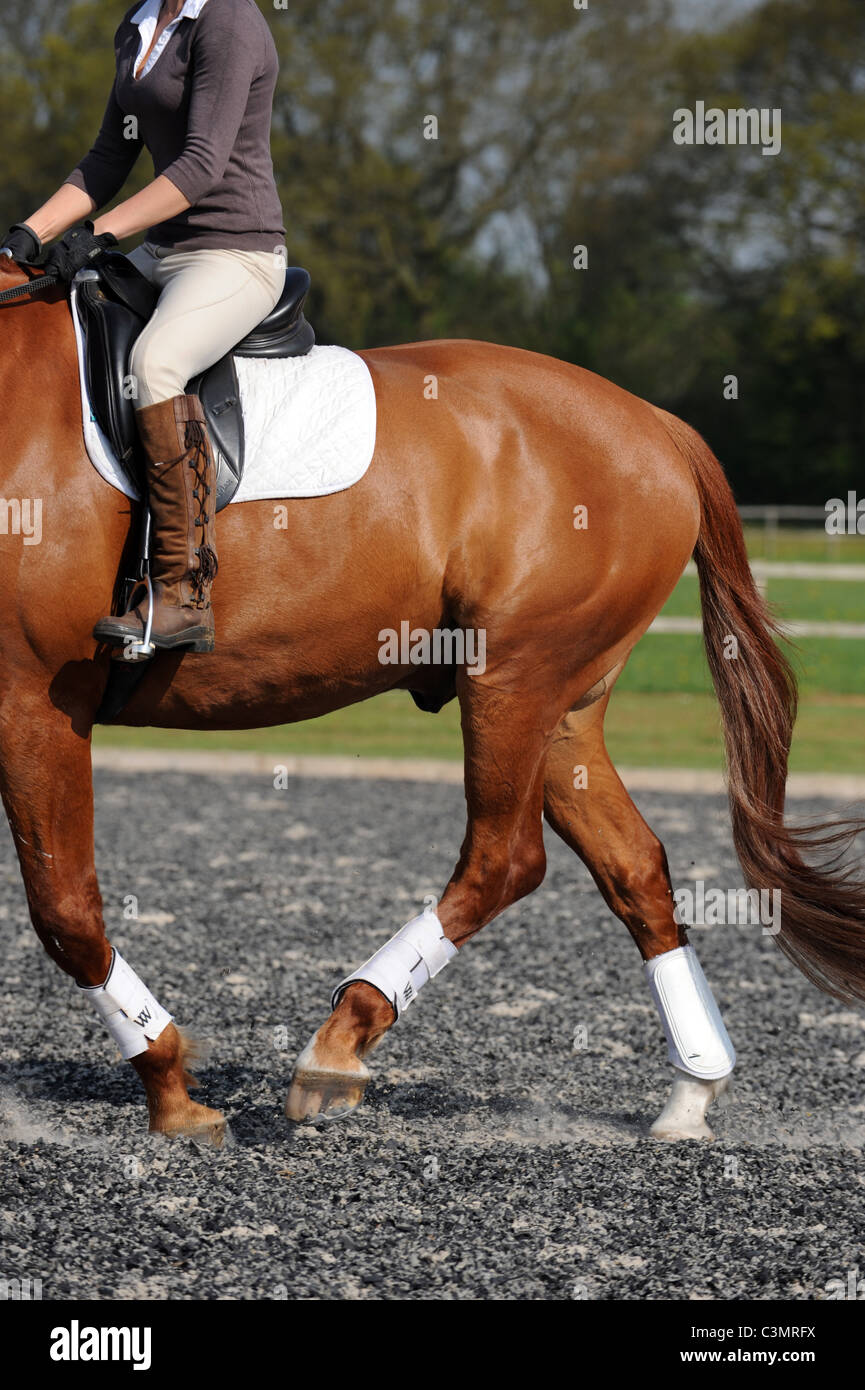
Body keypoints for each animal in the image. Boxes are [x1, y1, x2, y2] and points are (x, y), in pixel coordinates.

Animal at [1, 258, 865, 1139]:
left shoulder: (34, 699)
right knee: (633, 865)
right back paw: (691, 1092)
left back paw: (338, 1045)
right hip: (561, 712)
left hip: (510, 679)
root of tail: (654, 424)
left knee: (504, 860)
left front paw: (170, 1086)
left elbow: (64, 910)